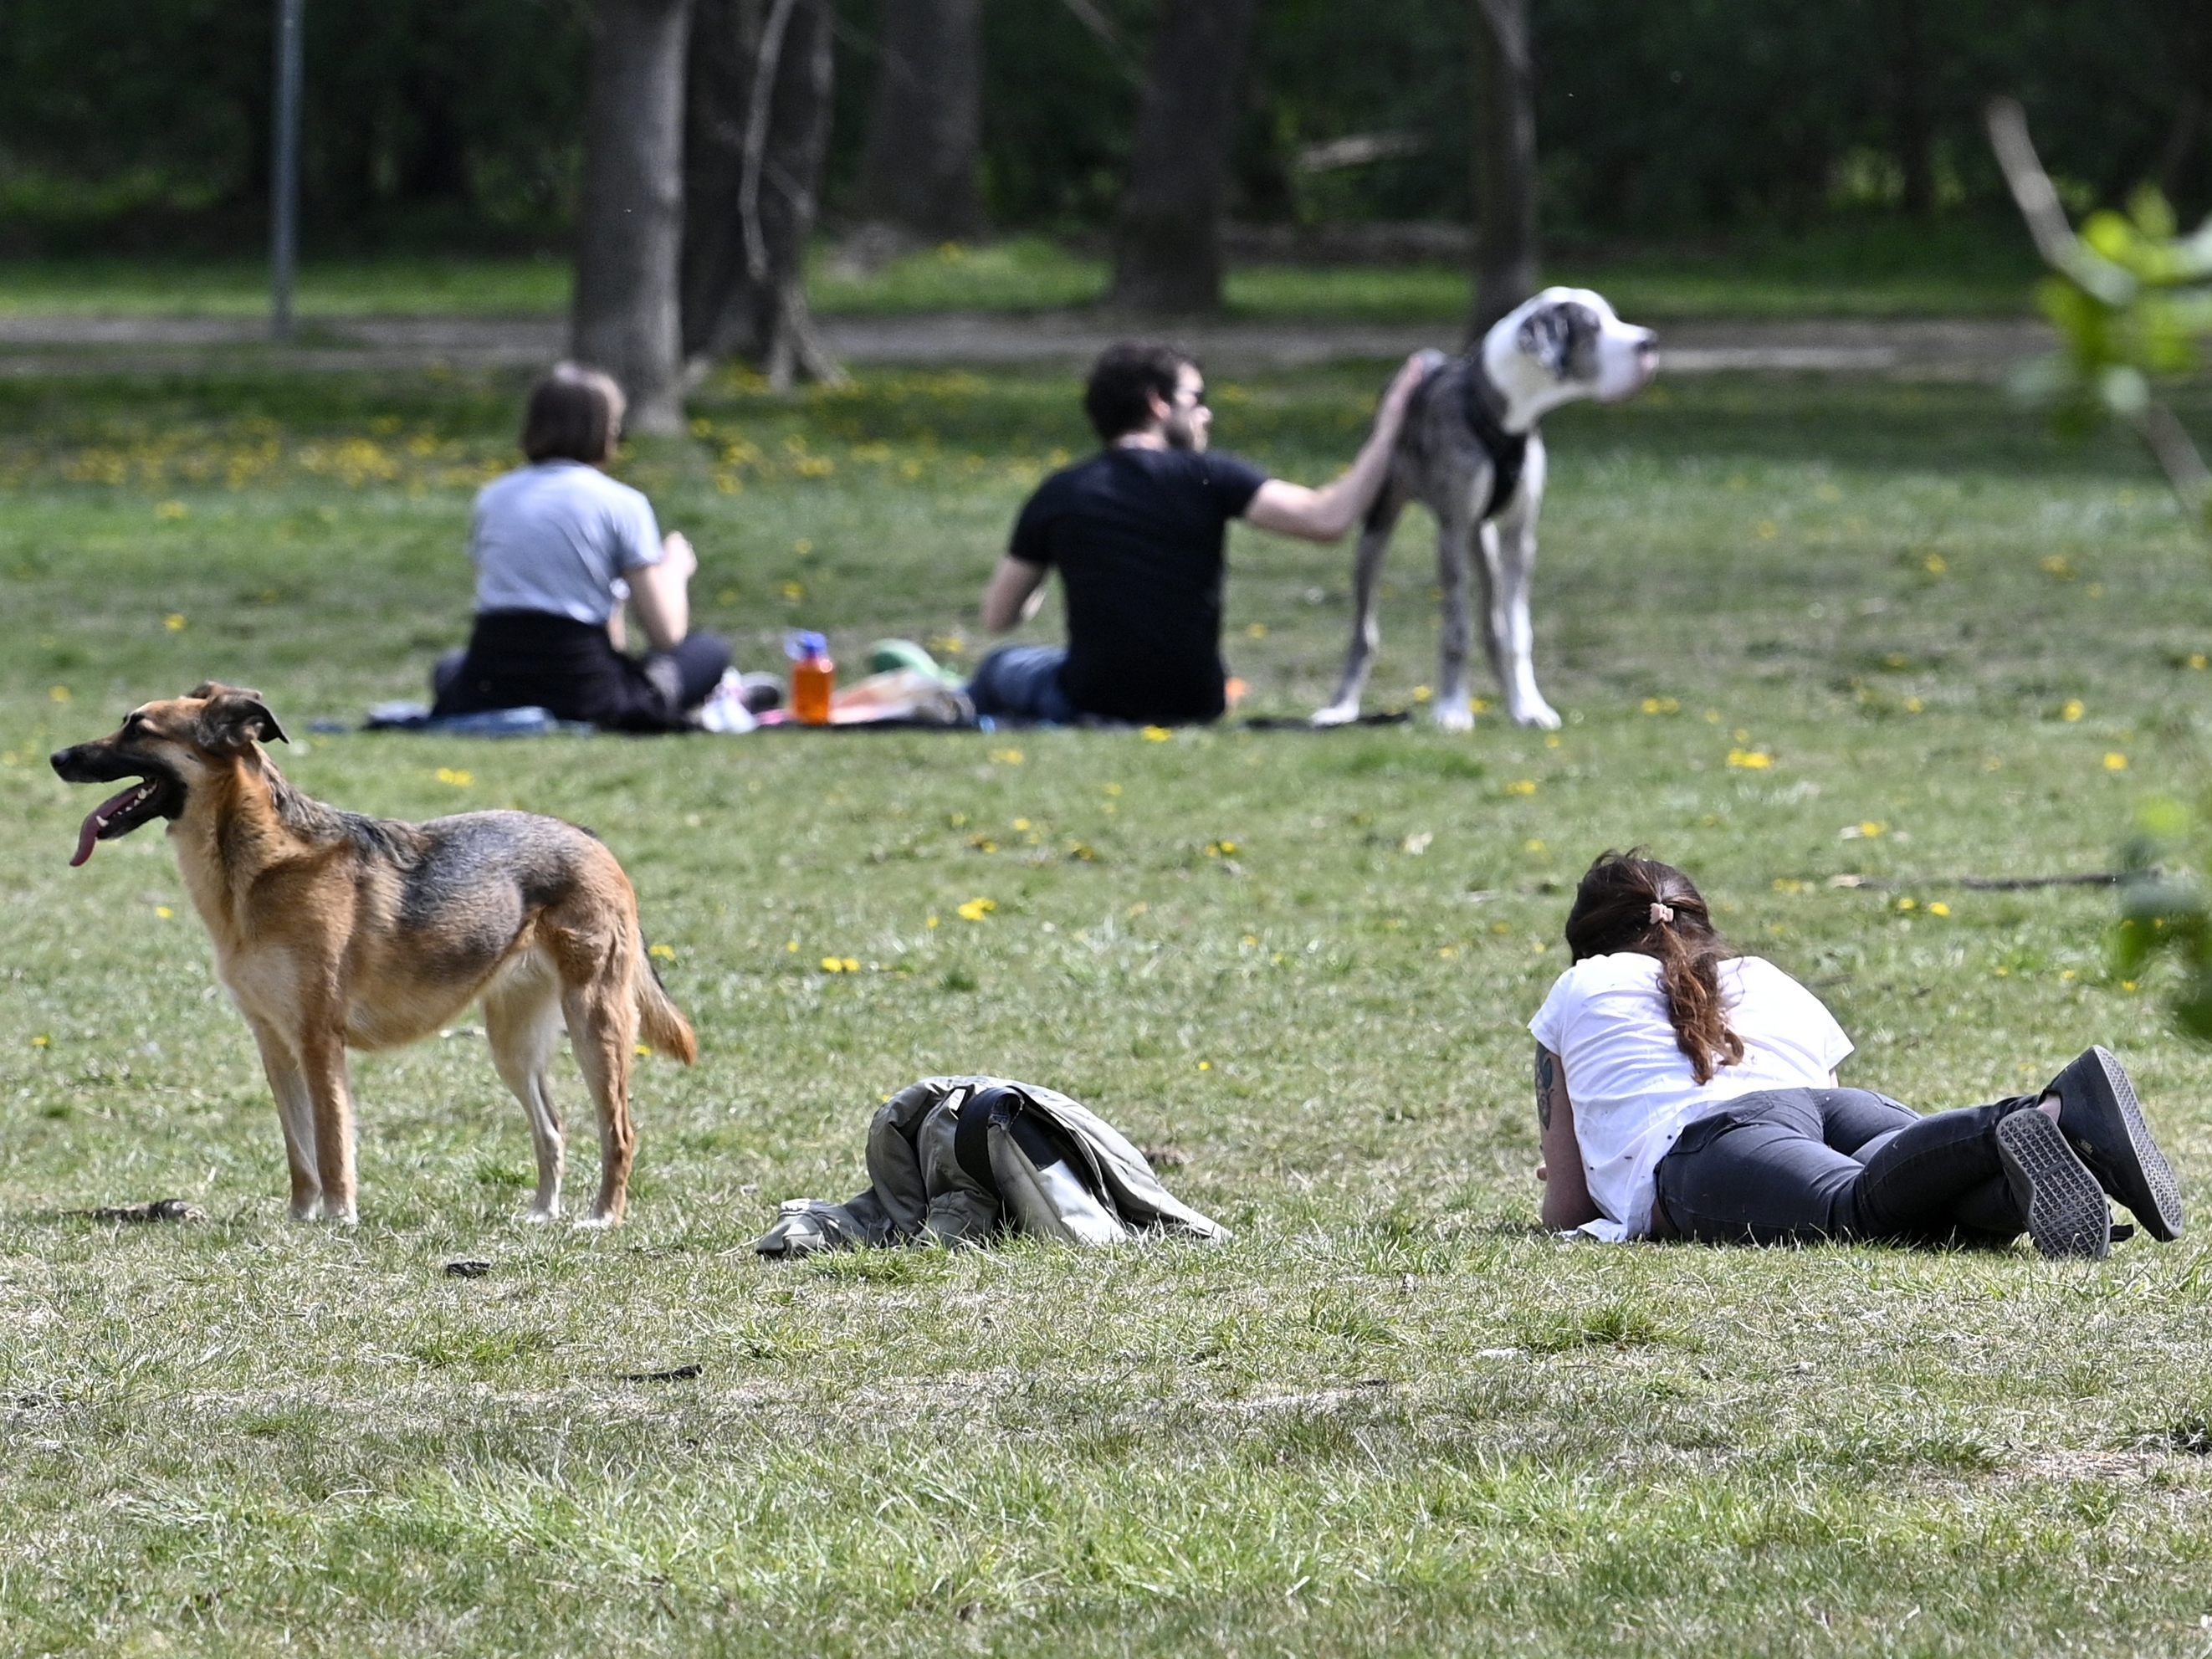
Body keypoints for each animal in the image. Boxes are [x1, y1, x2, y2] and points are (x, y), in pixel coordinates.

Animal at [49, 681, 689, 1230]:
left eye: (138, 729)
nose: (56, 756)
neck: (258, 867)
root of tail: (590, 838)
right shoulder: (274, 1043)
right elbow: (299, 1151)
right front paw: (300, 1218)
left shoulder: (317, 1040)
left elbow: (332, 1144)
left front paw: (338, 1219)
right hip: (513, 1045)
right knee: (553, 1129)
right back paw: (541, 1214)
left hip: (594, 1026)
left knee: (620, 1132)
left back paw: (602, 1218)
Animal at [1309, 287, 1663, 734]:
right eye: (1592, 328)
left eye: (1613, 318)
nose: (1651, 342)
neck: (1502, 414)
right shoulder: (1453, 528)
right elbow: (1455, 629)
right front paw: (1451, 709)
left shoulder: (1519, 536)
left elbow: (1518, 633)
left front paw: (1530, 706)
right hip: (1377, 532)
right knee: (1363, 632)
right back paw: (1341, 708)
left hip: (1486, 543)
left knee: (1494, 625)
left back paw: (1514, 703)